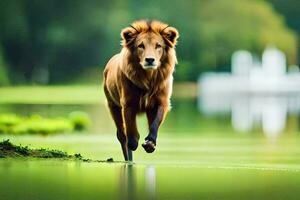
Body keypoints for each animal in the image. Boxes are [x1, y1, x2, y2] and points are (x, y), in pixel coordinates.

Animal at [103, 19, 178, 161]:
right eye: (140, 46)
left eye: (158, 46)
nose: (150, 60)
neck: (148, 78)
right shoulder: (128, 103)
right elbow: (130, 129)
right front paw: (134, 142)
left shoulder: (162, 101)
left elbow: (155, 123)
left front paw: (150, 143)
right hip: (112, 105)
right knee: (121, 135)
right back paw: (129, 158)